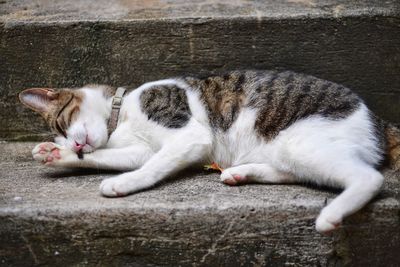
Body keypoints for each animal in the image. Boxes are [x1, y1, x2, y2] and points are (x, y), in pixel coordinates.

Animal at [19, 71, 400, 234]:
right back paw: (241, 172)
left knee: (370, 177)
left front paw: (122, 184)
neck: (122, 114)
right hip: (292, 150)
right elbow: (115, 158)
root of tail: (379, 121)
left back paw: (330, 216)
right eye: (62, 135)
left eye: (63, 124)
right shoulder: (139, 150)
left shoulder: (188, 137)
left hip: (304, 143)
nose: (74, 144)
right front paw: (56, 156)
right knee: (293, 171)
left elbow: (152, 165)